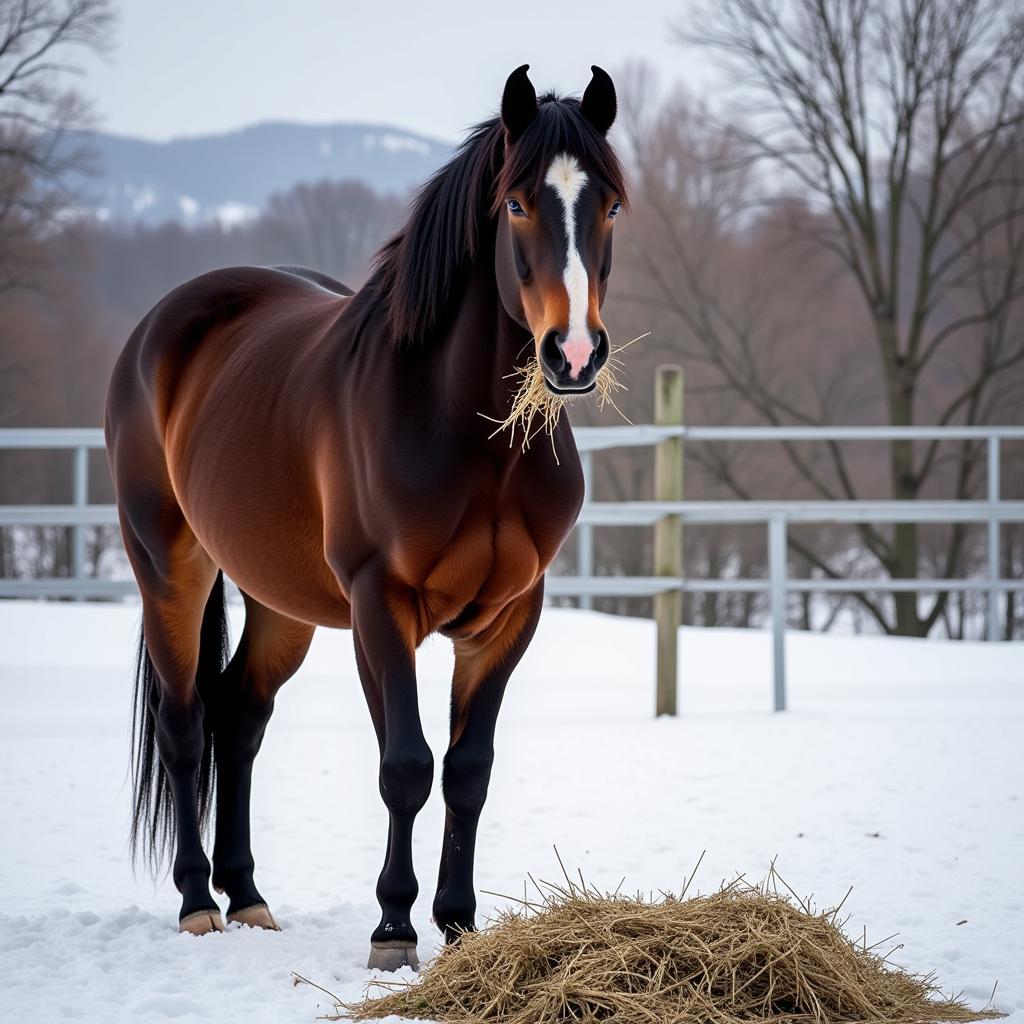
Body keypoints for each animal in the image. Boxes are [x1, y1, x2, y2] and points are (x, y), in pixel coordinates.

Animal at [108, 59, 626, 970]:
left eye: (610, 205)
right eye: (517, 203)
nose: (572, 354)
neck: (468, 436)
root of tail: (161, 330)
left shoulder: (510, 617)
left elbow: (468, 769)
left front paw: (457, 924)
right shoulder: (382, 606)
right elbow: (407, 766)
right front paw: (393, 928)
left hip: (280, 600)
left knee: (240, 715)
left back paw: (248, 896)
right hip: (169, 568)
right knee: (184, 722)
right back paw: (199, 902)